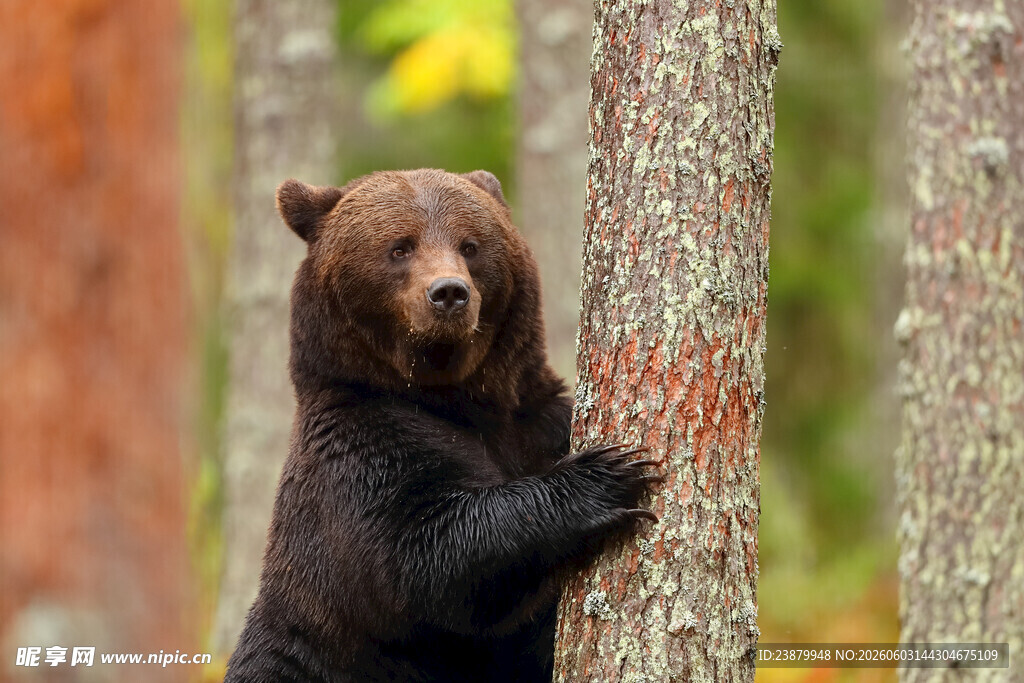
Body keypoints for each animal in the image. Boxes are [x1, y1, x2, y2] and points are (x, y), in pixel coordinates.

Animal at [224, 168, 658, 683]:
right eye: (400, 247)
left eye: (469, 245)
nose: (449, 292)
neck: (453, 399)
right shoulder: (360, 451)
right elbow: (425, 554)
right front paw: (610, 475)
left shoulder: (536, 422)